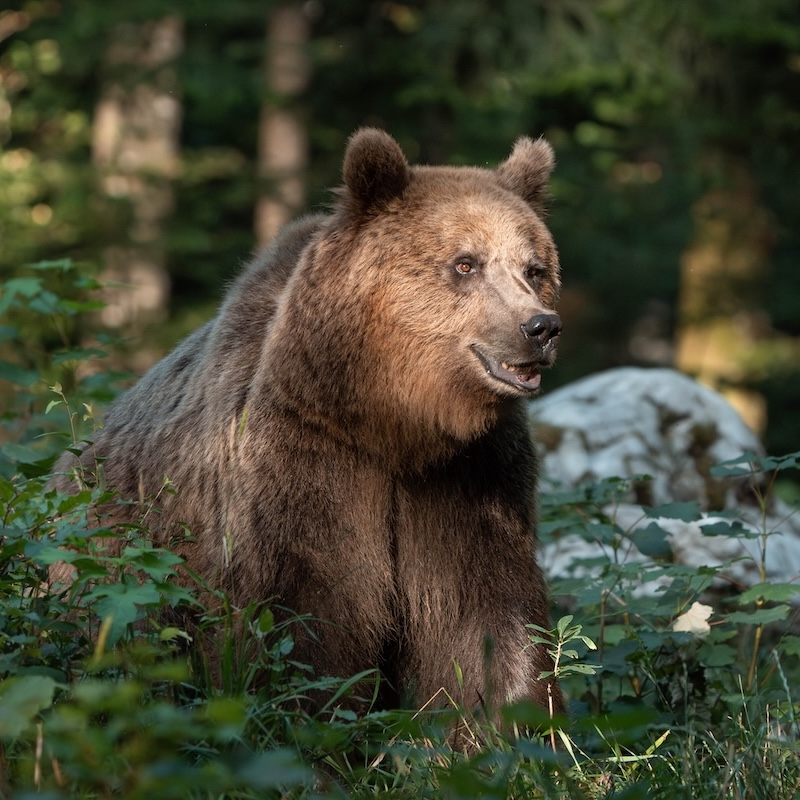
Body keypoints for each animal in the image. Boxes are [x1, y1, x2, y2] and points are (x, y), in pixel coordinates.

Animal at [53, 128, 564, 720]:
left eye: (534, 268)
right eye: (465, 263)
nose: (540, 327)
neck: (392, 426)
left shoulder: (473, 476)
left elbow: (485, 614)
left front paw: (517, 720)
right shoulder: (300, 459)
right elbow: (301, 617)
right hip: (109, 564)